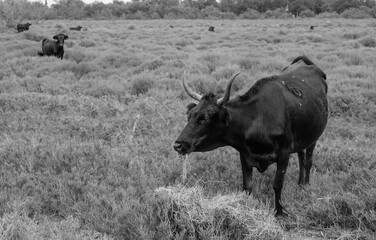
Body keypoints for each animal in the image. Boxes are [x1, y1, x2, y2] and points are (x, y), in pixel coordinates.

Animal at [175, 55, 328, 216]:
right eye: (189, 115)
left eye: (204, 118)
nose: (178, 145)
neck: (258, 119)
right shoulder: (245, 154)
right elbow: (247, 186)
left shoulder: (284, 153)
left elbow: (277, 184)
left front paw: (279, 211)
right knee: (301, 156)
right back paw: (300, 183)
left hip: (313, 137)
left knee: (308, 160)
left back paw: (306, 184)